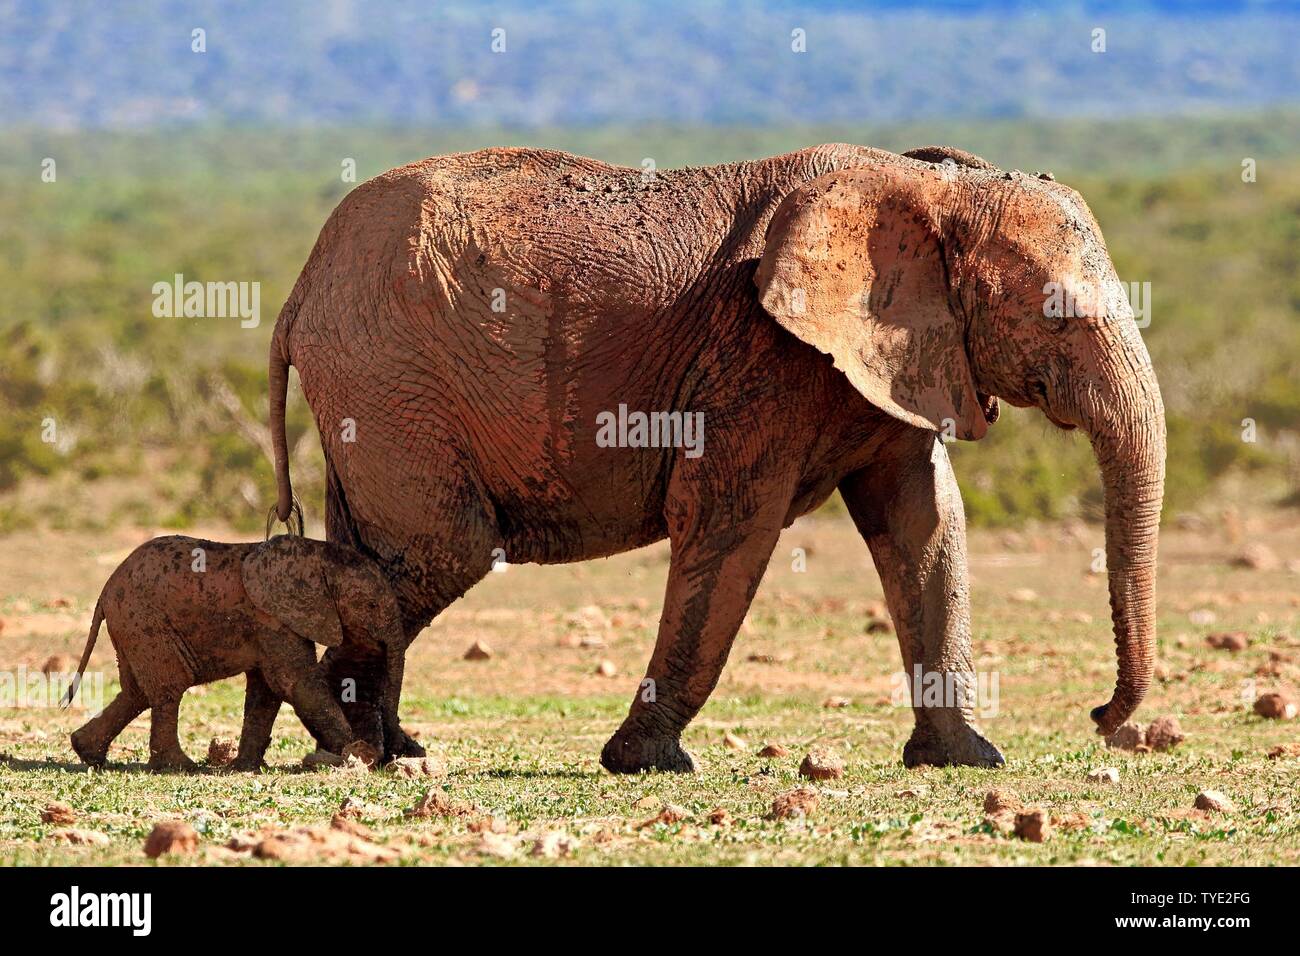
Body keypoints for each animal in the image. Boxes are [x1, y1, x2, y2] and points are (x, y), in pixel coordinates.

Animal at [61, 535, 403, 775]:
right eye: (370, 605)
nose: (388, 757)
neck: (316, 553)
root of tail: (104, 592)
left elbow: (266, 691)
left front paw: (249, 767)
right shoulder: (272, 619)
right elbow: (295, 683)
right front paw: (358, 755)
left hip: (132, 626)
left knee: (137, 693)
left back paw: (88, 754)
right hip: (143, 622)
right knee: (169, 688)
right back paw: (180, 767)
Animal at [269, 143, 1164, 770]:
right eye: (1059, 317)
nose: (1102, 720)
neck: (932, 187)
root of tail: (299, 287)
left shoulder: (897, 359)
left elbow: (926, 525)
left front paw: (965, 760)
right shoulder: (760, 356)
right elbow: (731, 525)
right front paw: (645, 763)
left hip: (372, 390)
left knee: (385, 554)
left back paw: (388, 747)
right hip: (387, 375)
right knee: (439, 550)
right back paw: (354, 749)